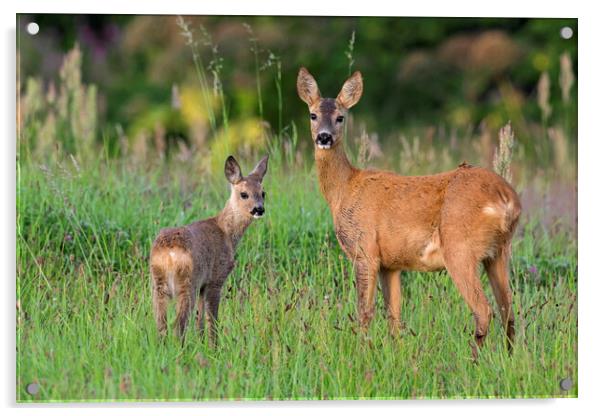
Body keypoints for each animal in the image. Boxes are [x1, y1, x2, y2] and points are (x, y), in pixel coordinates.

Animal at [149, 155, 268, 344]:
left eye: (263, 193)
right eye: (244, 194)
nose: (259, 209)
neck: (226, 232)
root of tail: (168, 253)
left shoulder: (203, 286)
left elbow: (200, 321)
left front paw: (202, 343)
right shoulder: (216, 278)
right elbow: (212, 319)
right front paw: (214, 346)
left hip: (158, 284)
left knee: (161, 325)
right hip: (187, 283)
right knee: (178, 325)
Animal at [296, 68, 520, 358]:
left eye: (340, 117)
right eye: (312, 115)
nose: (324, 137)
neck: (343, 190)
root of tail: (507, 199)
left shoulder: (364, 250)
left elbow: (364, 312)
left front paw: (361, 354)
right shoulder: (390, 264)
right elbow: (394, 316)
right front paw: (395, 355)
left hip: (460, 248)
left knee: (484, 310)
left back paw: (472, 359)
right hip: (499, 251)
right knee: (509, 310)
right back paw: (509, 357)